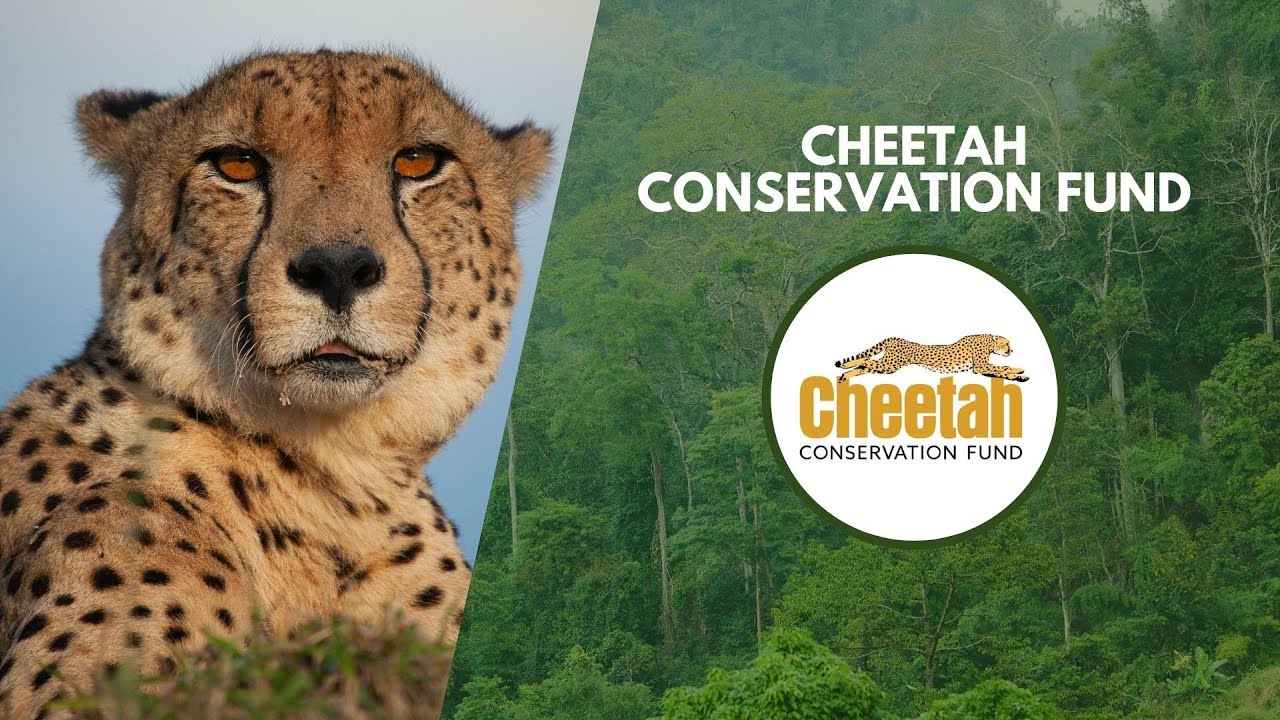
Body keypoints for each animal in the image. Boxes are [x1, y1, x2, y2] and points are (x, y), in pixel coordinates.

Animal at [834, 334, 1029, 383]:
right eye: (1006, 343)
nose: (1011, 350)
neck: (988, 341)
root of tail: (895, 338)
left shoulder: (981, 369)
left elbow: (1001, 370)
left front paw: (1019, 375)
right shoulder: (980, 366)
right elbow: (1001, 367)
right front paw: (1018, 371)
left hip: (886, 367)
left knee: (864, 367)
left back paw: (844, 377)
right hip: (889, 365)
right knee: (864, 360)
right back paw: (844, 368)